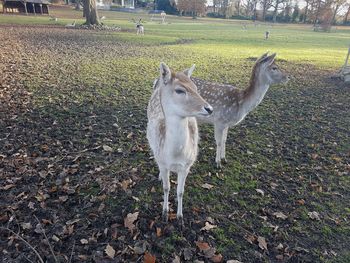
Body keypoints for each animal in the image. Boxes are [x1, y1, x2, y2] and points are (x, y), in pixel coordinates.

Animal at [146, 62, 212, 227]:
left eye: (196, 87)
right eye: (180, 90)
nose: (209, 108)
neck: (175, 156)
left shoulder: (187, 165)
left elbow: (181, 191)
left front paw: (180, 218)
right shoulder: (163, 163)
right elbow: (166, 188)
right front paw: (164, 214)